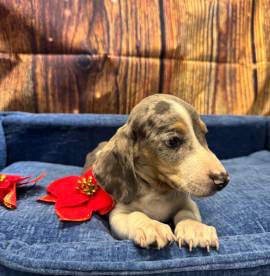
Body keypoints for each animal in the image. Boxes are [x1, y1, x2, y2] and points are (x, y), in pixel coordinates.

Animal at [81, 94, 229, 251]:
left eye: (204, 133)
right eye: (173, 141)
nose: (223, 180)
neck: (158, 191)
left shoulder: (187, 203)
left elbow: (187, 213)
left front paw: (196, 228)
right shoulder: (118, 214)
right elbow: (135, 214)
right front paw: (151, 226)